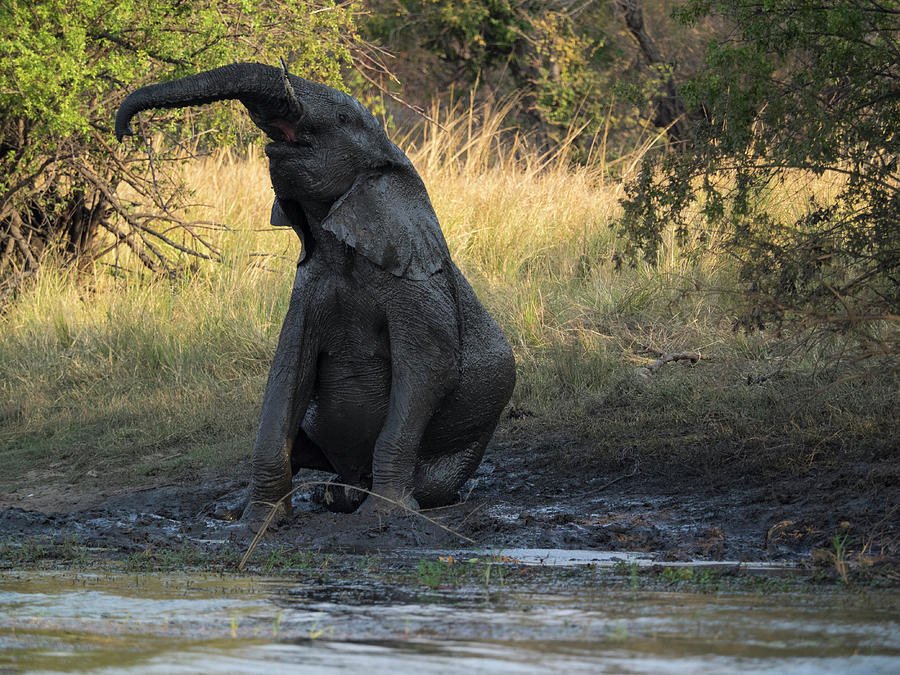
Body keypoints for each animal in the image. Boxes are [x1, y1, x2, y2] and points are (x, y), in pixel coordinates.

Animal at [116, 62, 516, 528]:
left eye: (342, 119)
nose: (125, 133)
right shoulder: (308, 286)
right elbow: (288, 373)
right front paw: (261, 521)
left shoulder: (417, 283)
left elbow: (427, 369)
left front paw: (383, 515)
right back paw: (257, 505)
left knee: (430, 478)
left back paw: (350, 496)